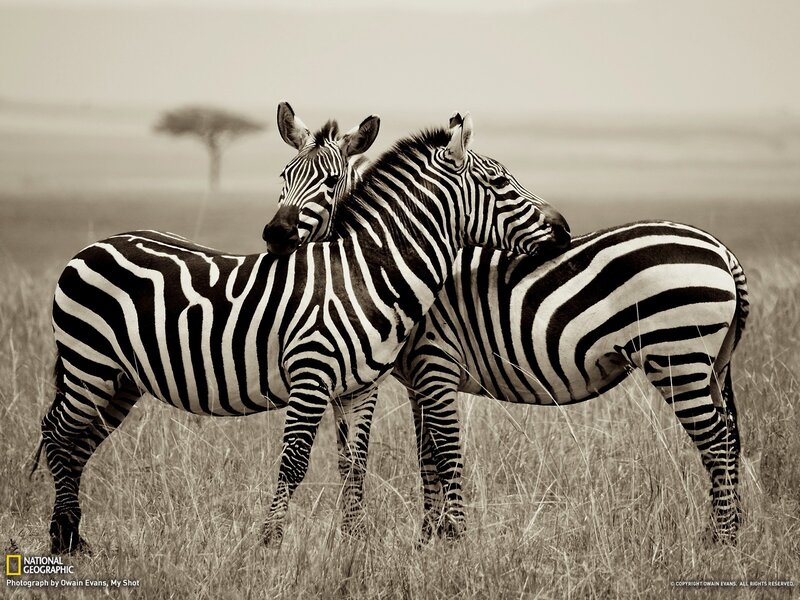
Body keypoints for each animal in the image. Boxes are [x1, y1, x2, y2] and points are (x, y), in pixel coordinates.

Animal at [33, 111, 570, 554]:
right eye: (500, 181)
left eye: (331, 181)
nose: (564, 228)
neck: (365, 275)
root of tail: (98, 244)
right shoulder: (310, 377)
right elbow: (293, 462)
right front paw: (269, 542)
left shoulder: (360, 387)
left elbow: (354, 462)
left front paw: (355, 542)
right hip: (88, 364)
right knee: (58, 433)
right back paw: (63, 538)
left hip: (121, 379)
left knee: (80, 441)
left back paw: (75, 534)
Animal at [267, 110, 749, 545]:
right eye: (283, 177)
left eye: (330, 183)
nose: (275, 235)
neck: (389, 265)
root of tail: (722, 250)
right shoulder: (417, 380)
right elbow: (425, 457)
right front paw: (427, 541)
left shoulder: (435, 360)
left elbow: (442, 454)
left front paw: (450, 541)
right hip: (707, 363)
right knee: (727, 437)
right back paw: (722, 532)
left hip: (677, 356)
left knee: (716, 440)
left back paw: (722, 541)